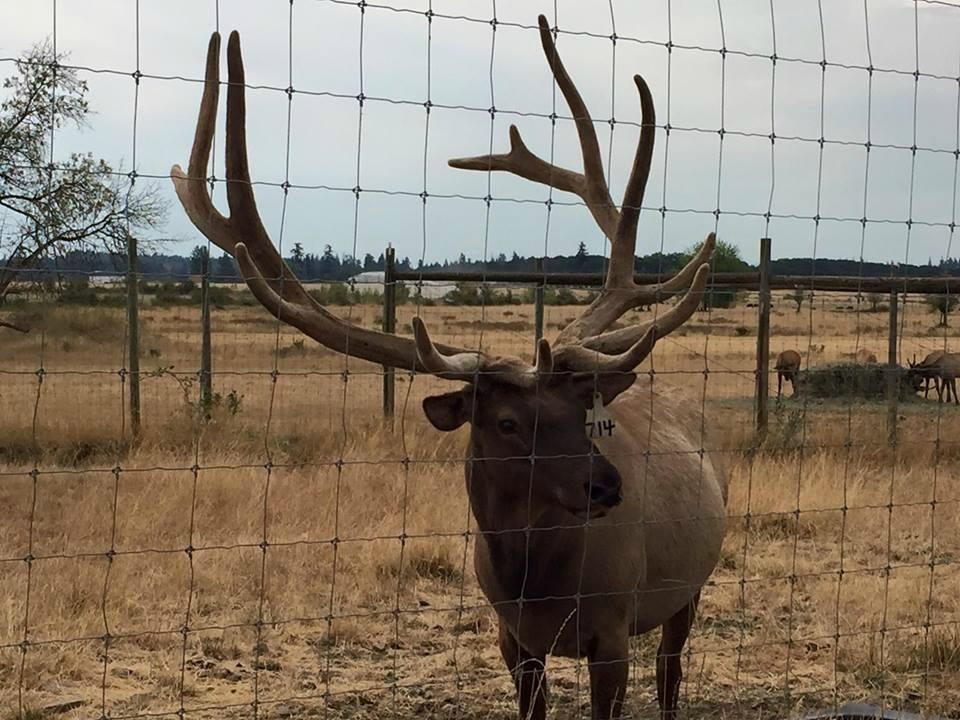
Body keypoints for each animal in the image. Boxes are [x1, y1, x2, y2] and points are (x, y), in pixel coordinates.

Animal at [172, 23, 727, 720]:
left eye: (584, 413)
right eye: (508, 422)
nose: (607, 486)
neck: (535, 585)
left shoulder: (613, 625)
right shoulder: (511, 636)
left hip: (689, 585)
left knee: (671, 669)